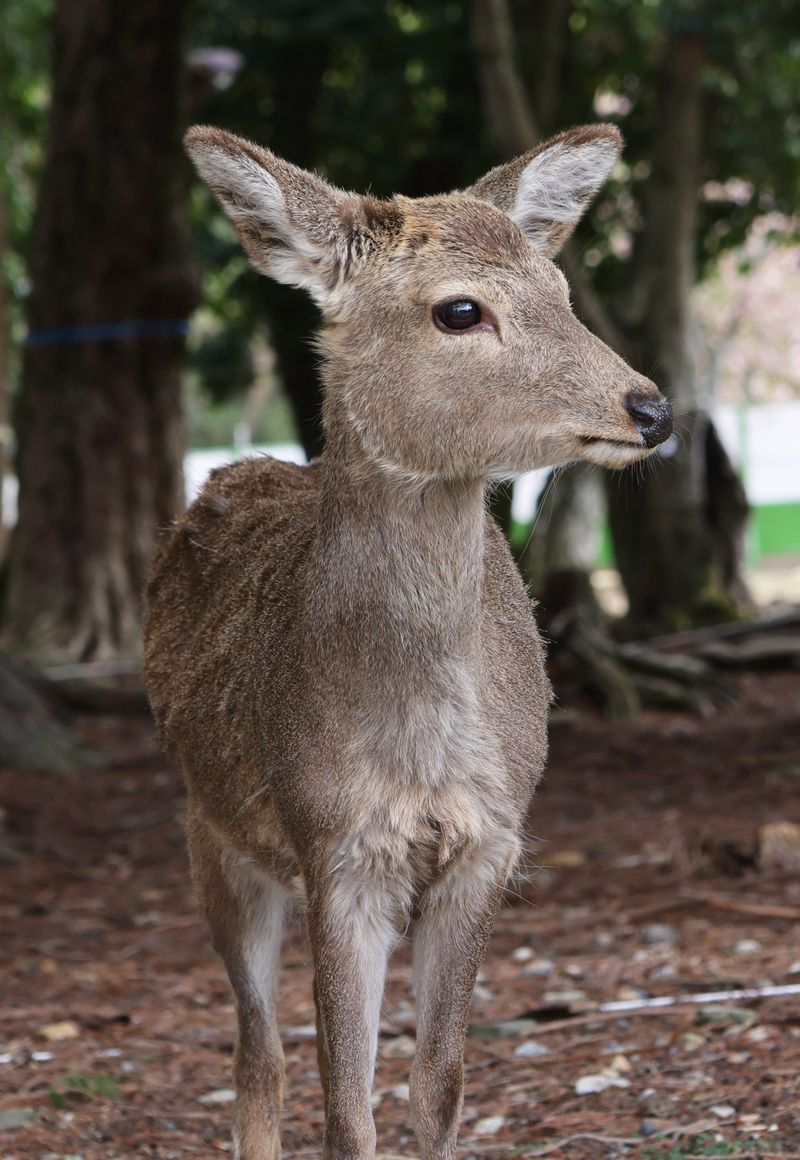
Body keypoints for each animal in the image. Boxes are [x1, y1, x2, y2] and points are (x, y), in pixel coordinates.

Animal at [144, 122, 672, 1155]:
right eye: (459, 310)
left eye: (562, 292)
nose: (651, 409)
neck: (419, 741)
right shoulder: (333, 844)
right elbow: (347, 1110)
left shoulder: (493, 839)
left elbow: (441, 1089)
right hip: (207, 829)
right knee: (255, 1055)